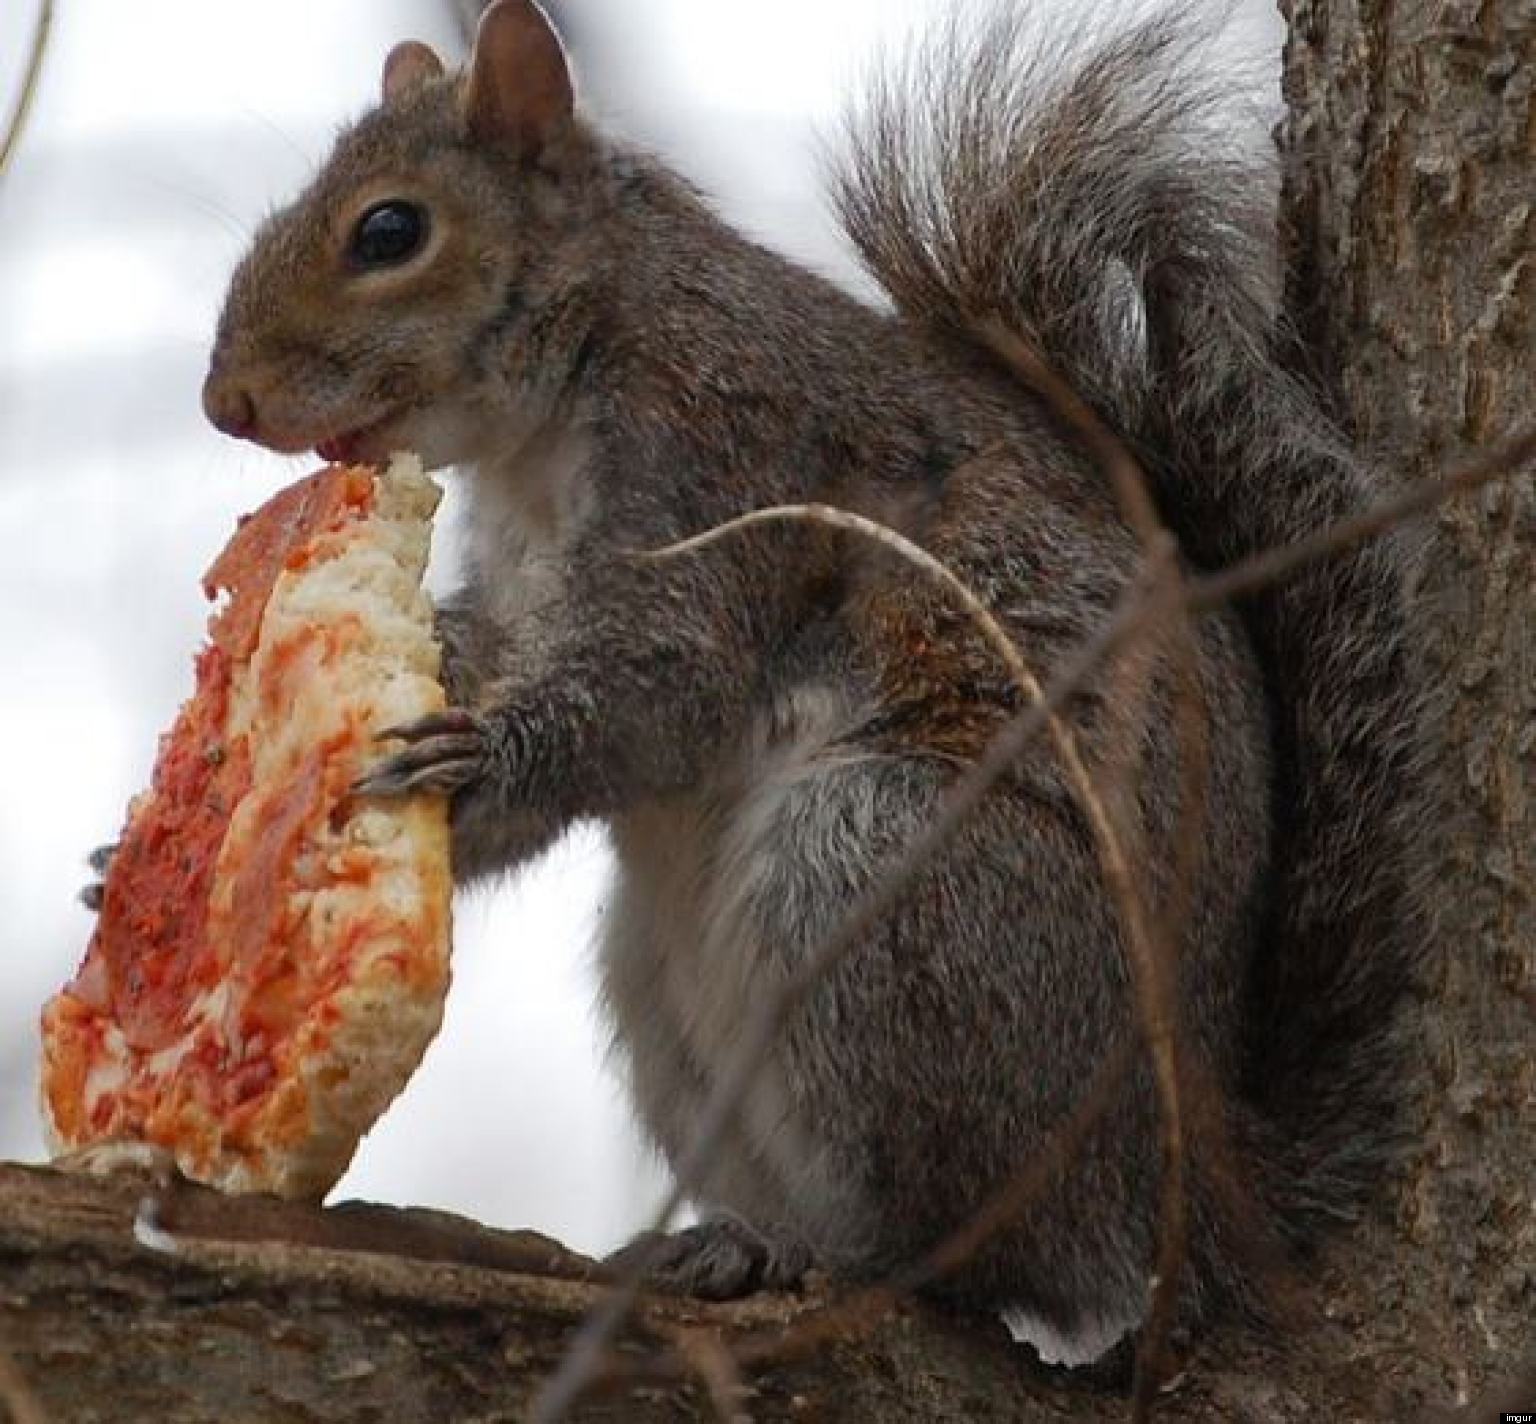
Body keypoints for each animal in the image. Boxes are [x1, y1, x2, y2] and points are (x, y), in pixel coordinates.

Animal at [198, 0, 1419, 1357]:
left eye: (390, 231)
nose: (224, 399)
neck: (575, 371)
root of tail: (1183, 1177)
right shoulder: (524, 575)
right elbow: (503, 650)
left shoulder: (721, 463)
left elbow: (657, 692)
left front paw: (467, 766)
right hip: (671, 987)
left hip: (889, 888)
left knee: (963, 1257)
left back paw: (817, 1253)